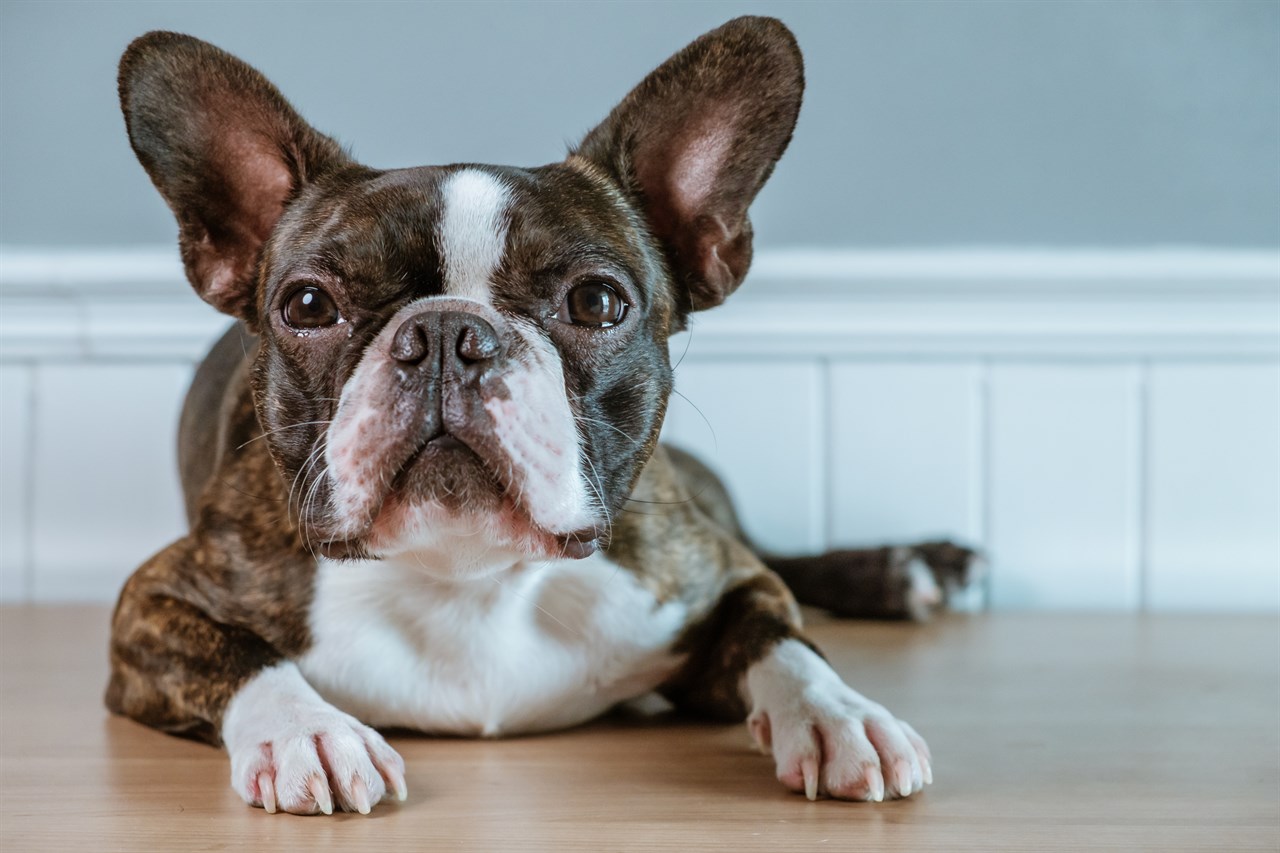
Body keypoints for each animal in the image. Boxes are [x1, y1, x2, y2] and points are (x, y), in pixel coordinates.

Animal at [110, 18, 972, 809]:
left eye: (596, 301)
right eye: (309, 305)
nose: (446, 333)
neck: (470, 575)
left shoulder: (715, 575)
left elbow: (780, 632)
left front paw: (837, 714)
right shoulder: (153, 603)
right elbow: (246, 657)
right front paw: (309, 732)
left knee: (786, 557)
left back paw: (908, 568)